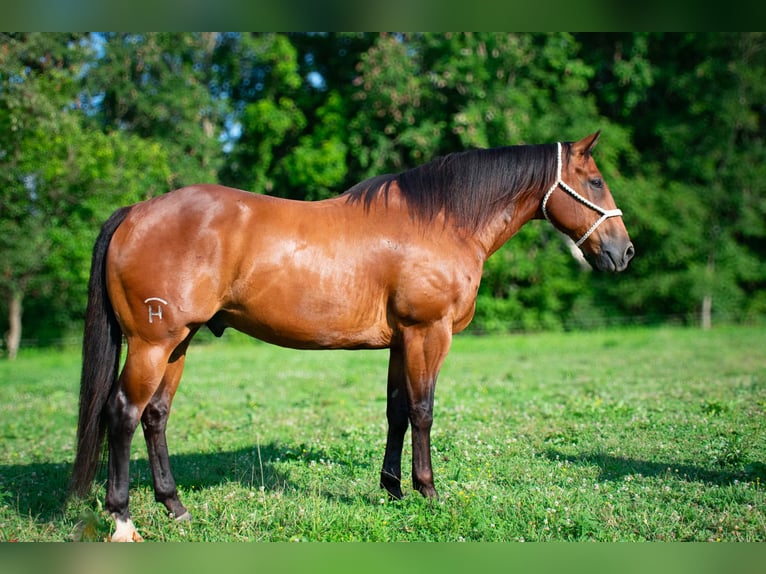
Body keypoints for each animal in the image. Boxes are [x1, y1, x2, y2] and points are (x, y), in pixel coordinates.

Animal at [70, 132, 636, 544]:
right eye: (596, 180)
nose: (625, 252)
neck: (441, 222)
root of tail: (135, 213)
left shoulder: (401, 340)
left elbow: (397, 412)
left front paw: (393, 490)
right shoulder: (428, 333)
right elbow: (424, 411)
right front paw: (428, 492)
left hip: (178, 344)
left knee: (155, 415)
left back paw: (175, 507)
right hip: (153, 344)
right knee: (122, 413)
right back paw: (122, 519)